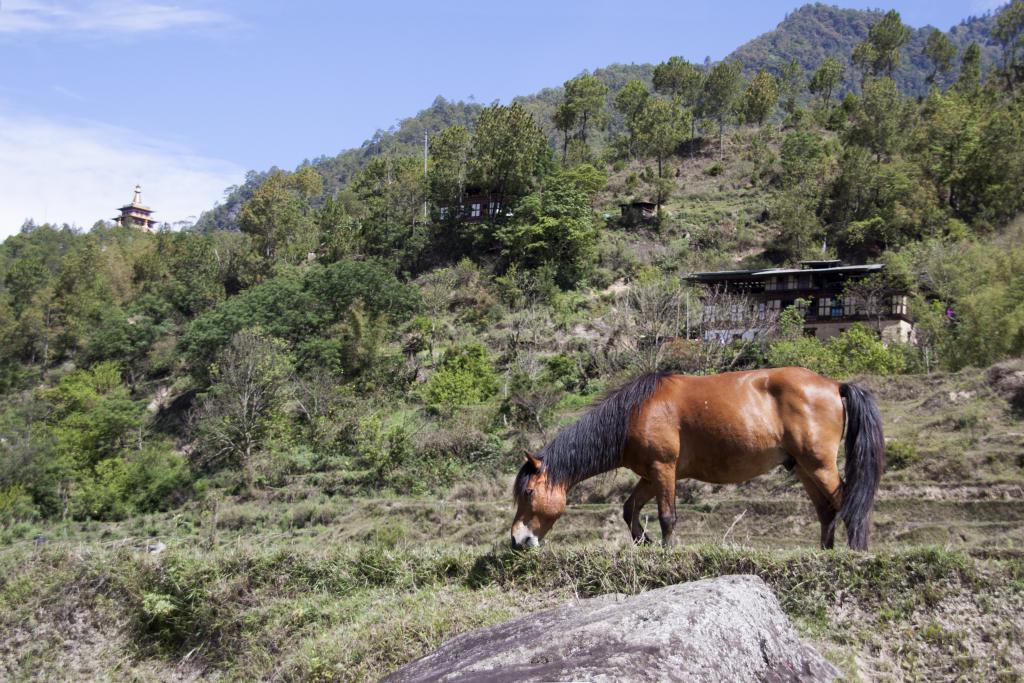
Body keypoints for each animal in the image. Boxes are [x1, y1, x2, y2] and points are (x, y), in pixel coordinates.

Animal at [516, 368, 884, 548]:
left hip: (819, 464)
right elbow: (629, 508)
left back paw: (856, 552)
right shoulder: (651, 475)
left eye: (528, 493)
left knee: (848, 505)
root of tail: (834, 384)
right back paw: (825, 551)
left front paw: (665, 549)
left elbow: (667, 516)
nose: (517, 541)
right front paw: (643, 541)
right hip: (805, 467)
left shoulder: (662, 469)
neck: (634, 413)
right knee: (827, 511)